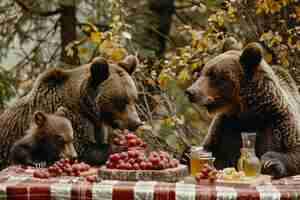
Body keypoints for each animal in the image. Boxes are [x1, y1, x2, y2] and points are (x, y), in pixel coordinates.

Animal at [0, 55, 142, 167]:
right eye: (121, 101)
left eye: (134, 98)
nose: (136, 123)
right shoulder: (71, 119)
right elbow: (84, 150)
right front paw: (123, 147)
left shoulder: (96, 125)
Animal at [186, 42, 300, 178]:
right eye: (203, 72)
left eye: (214, 75)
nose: (190, 92)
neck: (247, 113)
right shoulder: (225, 126)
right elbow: (215, 153)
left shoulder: (277, 122)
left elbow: (293, 150)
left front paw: (271, 163)